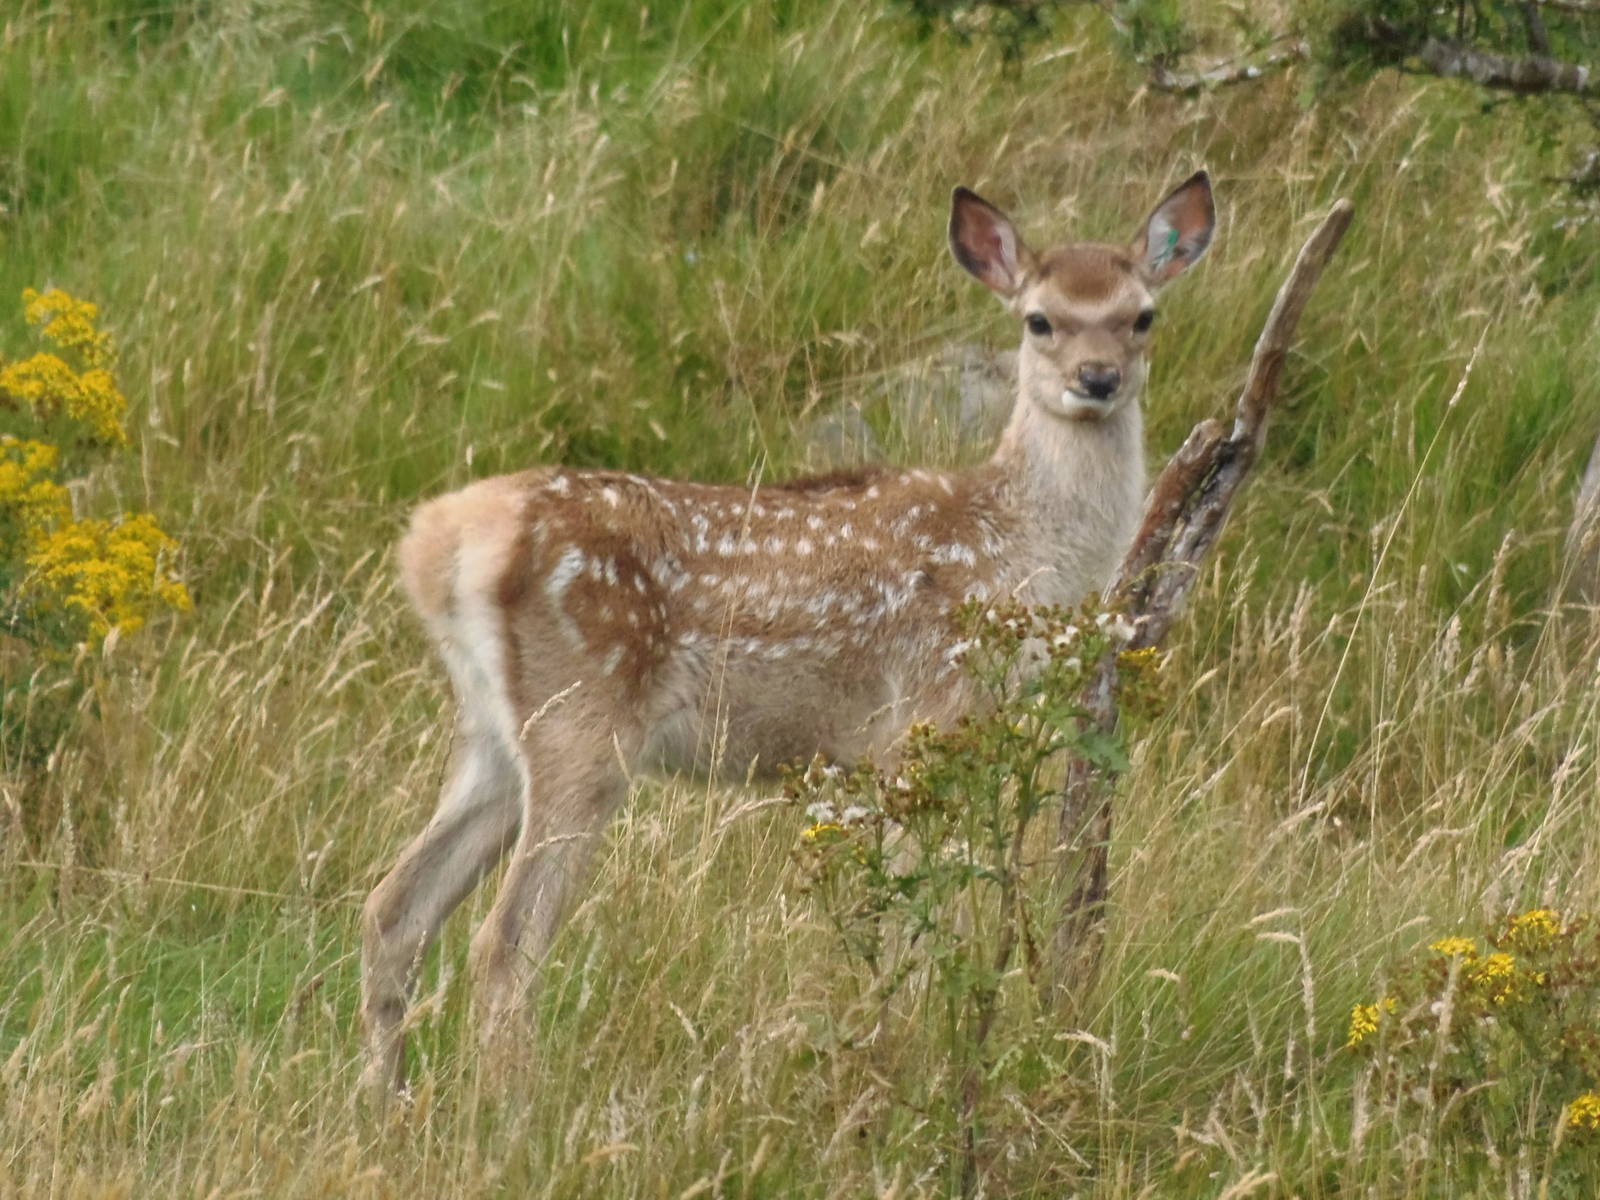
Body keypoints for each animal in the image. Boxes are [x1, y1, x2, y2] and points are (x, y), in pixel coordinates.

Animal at [359, 171, 1216, 1095]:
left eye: (1142, 315)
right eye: (1040, 319)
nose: (1098, 378)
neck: (1018, 552)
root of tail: (439, 542)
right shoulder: (926, 722)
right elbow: (914, 930)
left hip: (491, 727)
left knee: (394, 908)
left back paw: (386, 1101)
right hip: (583, 716)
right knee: (504, 939)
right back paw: (515, 1110)